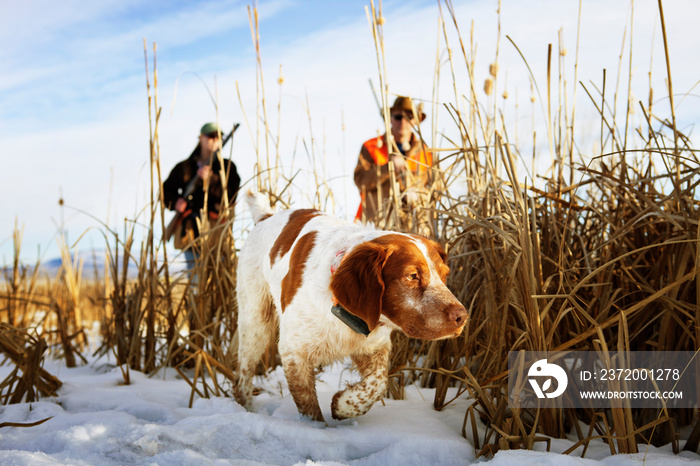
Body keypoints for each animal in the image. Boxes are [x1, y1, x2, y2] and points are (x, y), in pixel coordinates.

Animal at [232, 192, 468, 422]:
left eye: (444, 275)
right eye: (412, 276)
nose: (462, 316)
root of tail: (266, 216)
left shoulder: (374, 346)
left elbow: (378, 383)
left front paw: (344, 406)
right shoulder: (293, 352)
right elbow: (310, 409)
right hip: (255, 321)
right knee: (243, 375)